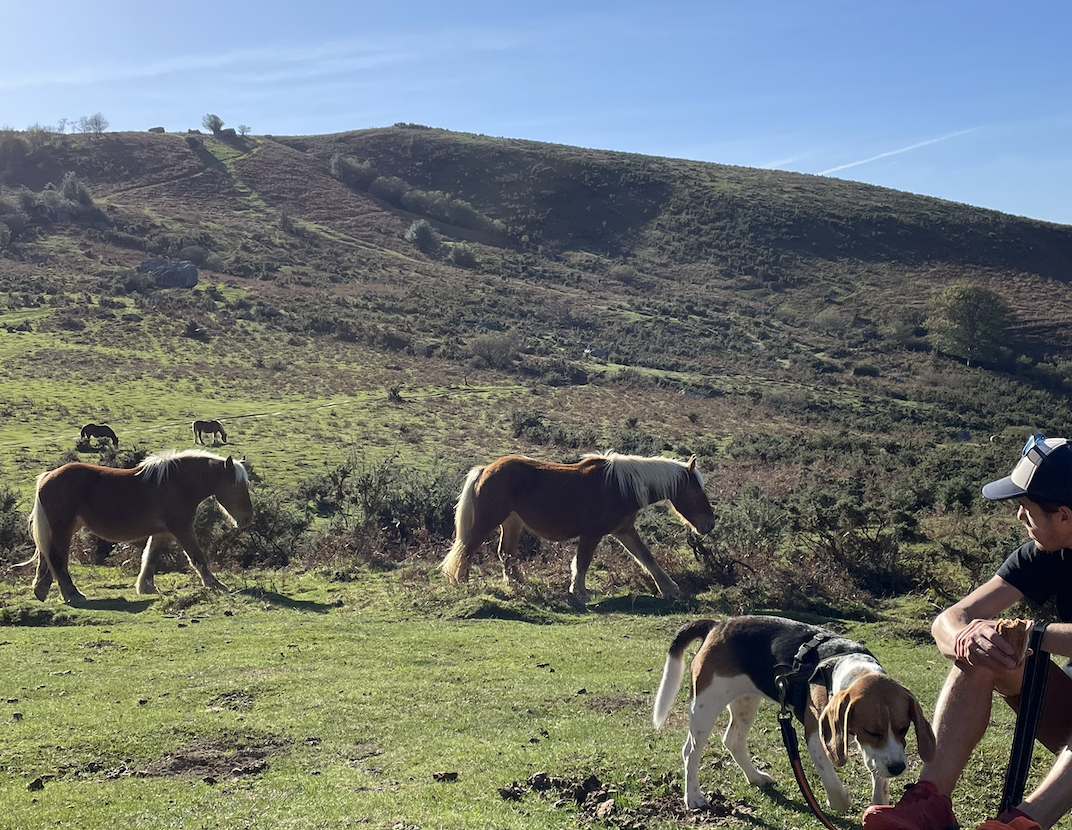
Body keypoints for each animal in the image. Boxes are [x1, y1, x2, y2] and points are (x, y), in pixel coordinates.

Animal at [25, 448, 252, 604]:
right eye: (235, 485)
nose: (247, 519)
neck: (177, 484)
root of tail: (47, 476)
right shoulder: (182, 529)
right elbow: (197, 557)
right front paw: (215, 584)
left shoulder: (162, 532)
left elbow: (149, 558)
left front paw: (146, 587)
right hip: (62, 528)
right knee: (57, 559)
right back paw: (73, 594)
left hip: (62, 528)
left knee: (47, 557)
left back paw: (42, 590)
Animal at [439, 454, 716, 604]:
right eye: (696, 490)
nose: (709, 524)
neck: (620, 486)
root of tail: (485, 469)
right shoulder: (592, 533)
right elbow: (582, 562)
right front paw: (579, 592)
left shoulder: (624, 531)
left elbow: (647, 558)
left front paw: (669, 588)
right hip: (487, 521)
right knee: (467, 549)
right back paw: (463, 582)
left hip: (512, 523)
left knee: (505, 554)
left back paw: (518, 585)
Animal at [647, 617, 934, 810]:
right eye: (872, 732)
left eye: (904, 728)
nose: (898, 768)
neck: (849, 668)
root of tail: (717, 625)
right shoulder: (816, 734)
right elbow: (830, 776)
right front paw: (839, 802)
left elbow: (878, 777)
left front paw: (879, 802)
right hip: (705, 706)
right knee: (690, 752)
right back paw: (694, 797)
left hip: (745, 703)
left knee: (733, 740)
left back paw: (755, 777)